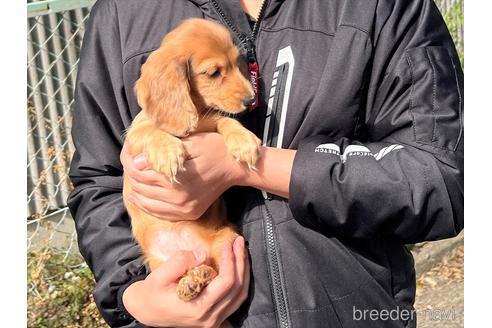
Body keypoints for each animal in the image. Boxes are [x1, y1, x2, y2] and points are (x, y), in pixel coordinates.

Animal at [123, 17, 262, 300]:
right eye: (214, 72)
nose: (250, 99)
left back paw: (199, 276)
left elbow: (226, 122)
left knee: (214, 270)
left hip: (225, 240)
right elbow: (152, 132)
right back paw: (190, 281)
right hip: (159, 264)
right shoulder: (135, 134)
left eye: (237, 63)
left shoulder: (214, 121)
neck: (197, 112)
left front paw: (244, 141)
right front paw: (167, 151)